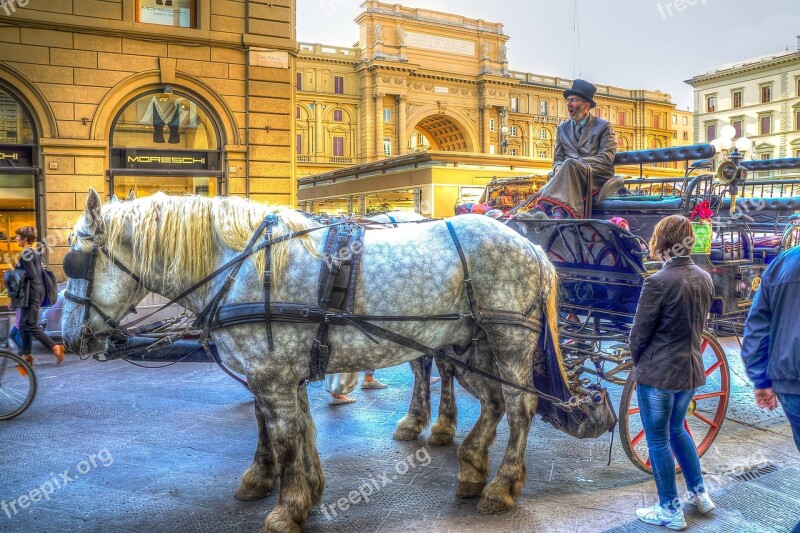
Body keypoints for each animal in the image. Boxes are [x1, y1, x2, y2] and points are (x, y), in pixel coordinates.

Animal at [61, 189, 564, 528]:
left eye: (75, 262)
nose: (66, 334)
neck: (240, 266)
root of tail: (532, 246)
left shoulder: (271, 375)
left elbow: (283, 438)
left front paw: (286, 507)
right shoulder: (280, 374)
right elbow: (295, 430)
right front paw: (302, 489)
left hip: (508, 340)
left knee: (521, 405)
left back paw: (502, 485)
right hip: (470, 344)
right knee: (492, 400)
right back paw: (471, 464)